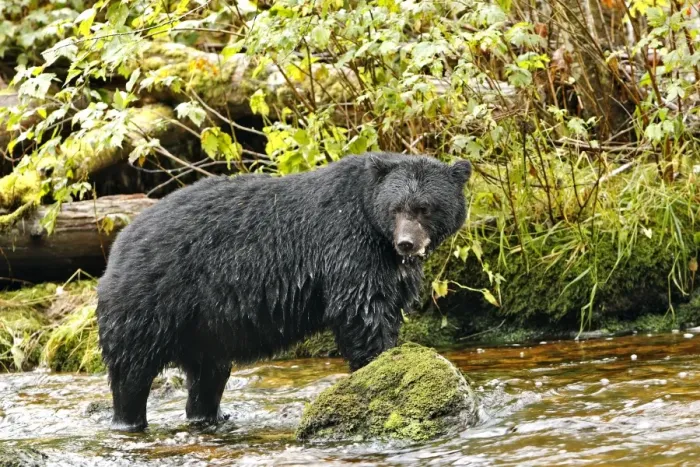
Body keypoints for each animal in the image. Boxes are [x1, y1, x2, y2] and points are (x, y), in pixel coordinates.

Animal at [96, 152, 472, 432]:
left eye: (425, 207)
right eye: (396, 208)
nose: (407, 243)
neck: (373, 226)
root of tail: (121, 241)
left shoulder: (390, 268)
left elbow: (386, 306)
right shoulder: (348, 246)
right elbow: (362, 312)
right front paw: (377, 364)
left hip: (204, 325)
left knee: (208, 374)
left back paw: (211, 416)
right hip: (150, 303)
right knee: (132, 371)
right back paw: (129, 420)